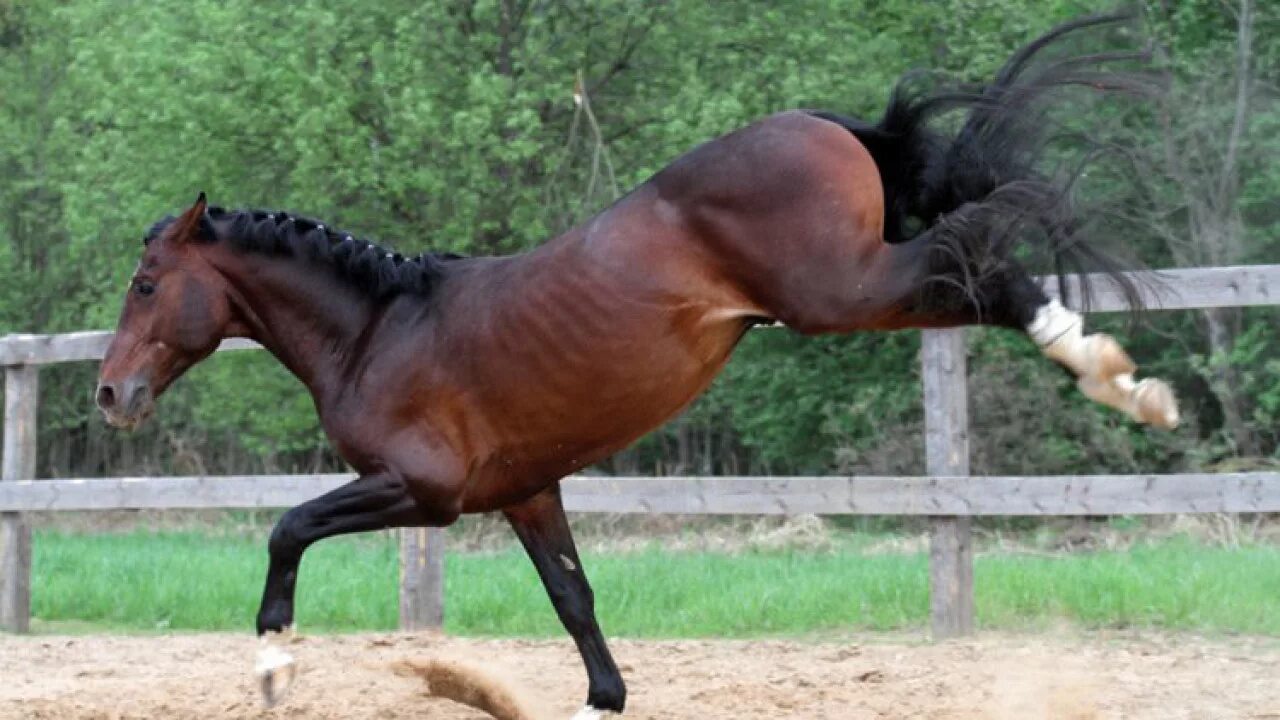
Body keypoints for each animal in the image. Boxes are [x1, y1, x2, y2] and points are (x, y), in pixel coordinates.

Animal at [97, 12, 1177, 717]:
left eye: (146, 284)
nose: (111, 393)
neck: (377, 330)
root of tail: (825, 125)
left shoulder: (420, 490)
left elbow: (286, 530)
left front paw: (273, 669)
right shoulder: (525, 491)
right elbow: (573, 600)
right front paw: (601, 700)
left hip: (843, 292)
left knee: (979, 255)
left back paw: (1123, 384)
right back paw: (1125, 383)